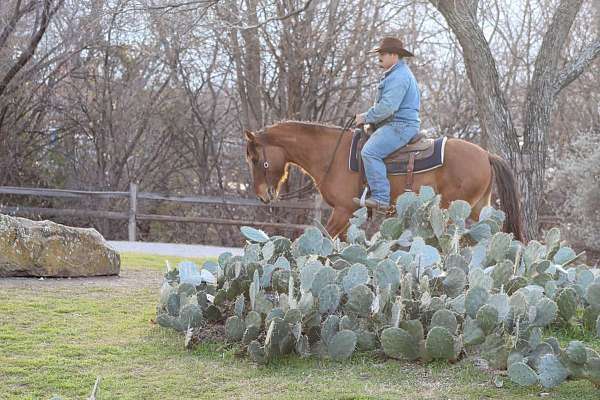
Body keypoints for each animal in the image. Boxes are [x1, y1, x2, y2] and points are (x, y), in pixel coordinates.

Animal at [244, 121, 524, 241]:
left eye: (256, 159)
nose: (262, 195)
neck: (330, 154)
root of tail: (486, 154)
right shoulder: (347, 215)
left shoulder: (343, 210)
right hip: (477, 207)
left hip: (452, 208)